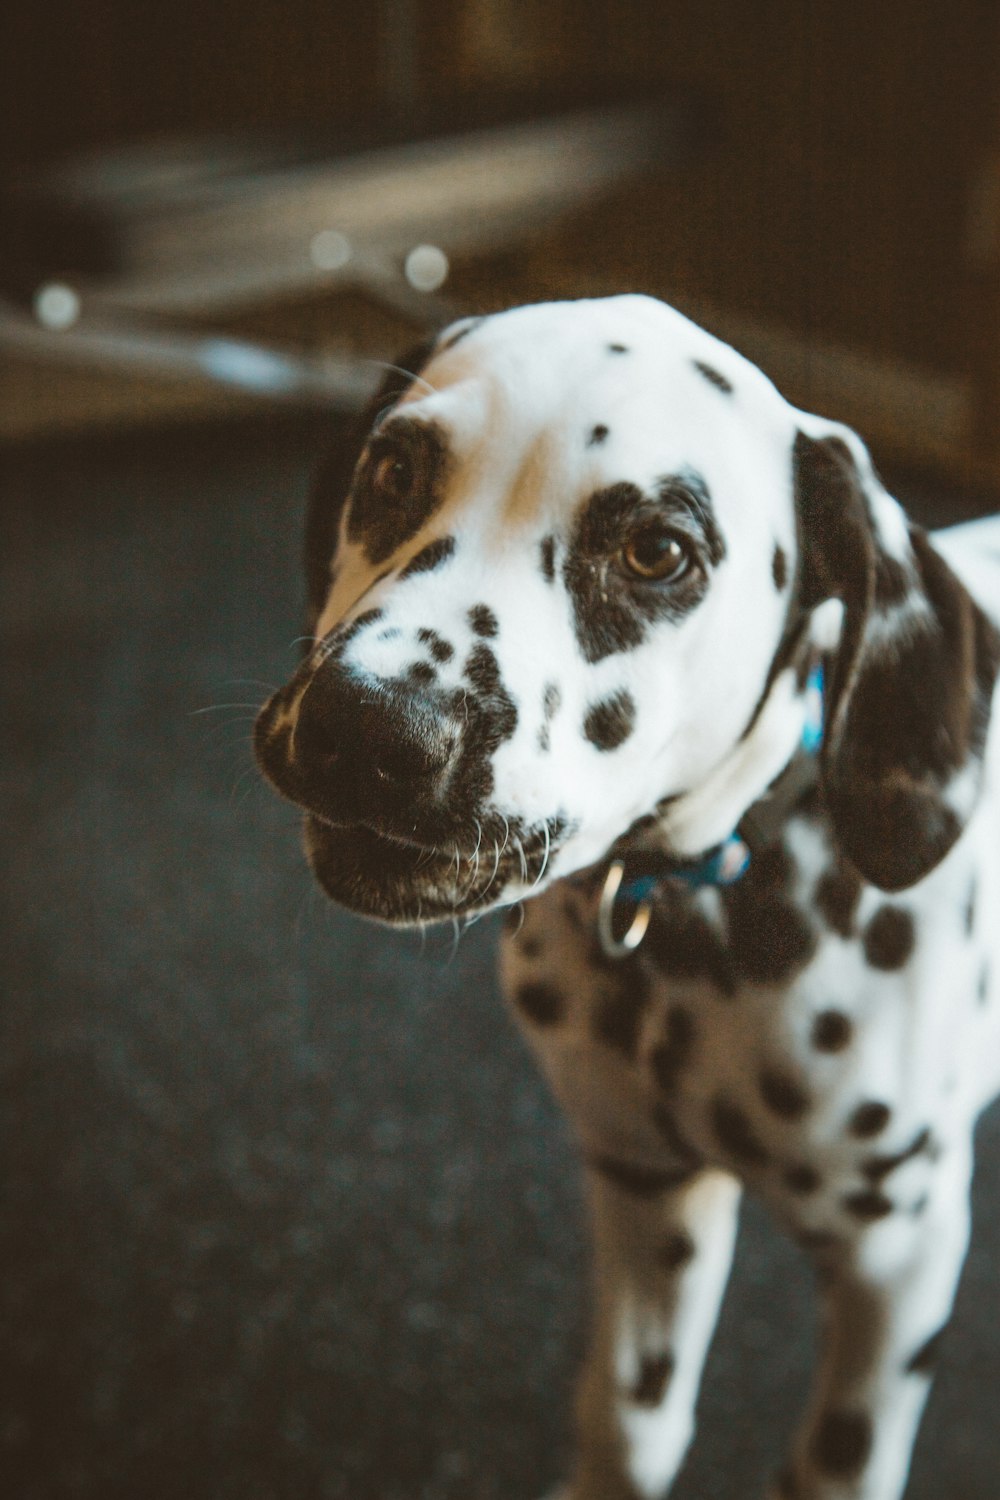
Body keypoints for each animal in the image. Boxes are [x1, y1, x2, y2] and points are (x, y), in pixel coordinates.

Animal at [256, 295, 1000, 1500]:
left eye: (657, 551)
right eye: (395, 470)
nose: (366, 727)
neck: (704, 921)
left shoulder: (898, 1260)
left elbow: (832, 1465)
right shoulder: (648, 1187)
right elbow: (628, 1418)